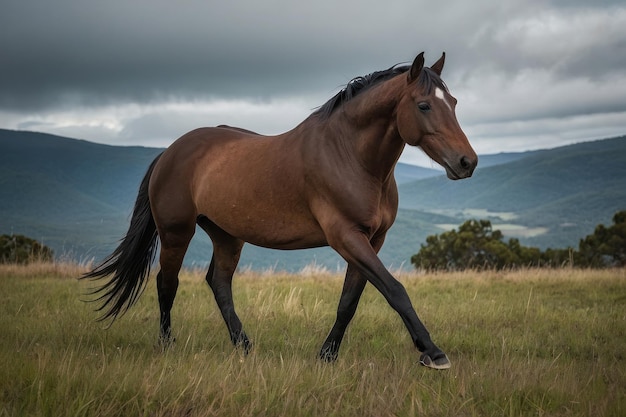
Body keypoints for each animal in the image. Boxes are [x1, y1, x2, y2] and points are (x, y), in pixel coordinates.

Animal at [81, 51, 472, 368]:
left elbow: (350, 300)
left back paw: (244, 346)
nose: (467, 162)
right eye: (424, 105)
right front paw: (433, 352)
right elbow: (395, 290)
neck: (348, 155)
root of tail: (169, 152)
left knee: (218, 283)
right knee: (167, 282)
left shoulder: (371, 241)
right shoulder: (346, 236)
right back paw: (168, 345)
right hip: (177, 232)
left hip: (227, 236)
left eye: (453, 102)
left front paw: (327, 355)